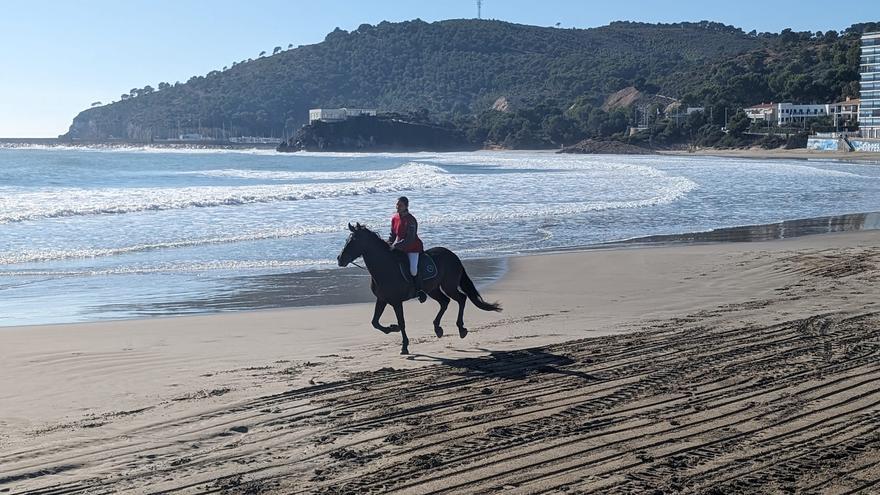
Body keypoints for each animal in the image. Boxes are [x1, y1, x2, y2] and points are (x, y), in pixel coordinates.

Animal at [338, 223, 502, 354]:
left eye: (353, 241)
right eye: (347, 240)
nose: (340, 259)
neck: (385, 268)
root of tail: (453, 255)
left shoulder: (396, 302)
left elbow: (402, 322)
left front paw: (404, 346)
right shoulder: (382, 299)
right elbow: (375, 322)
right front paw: (392, 328)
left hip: (448, 286)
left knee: (461, 298)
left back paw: (461, 329)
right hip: (433, 289)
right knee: (445, 302)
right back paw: (438, 328)